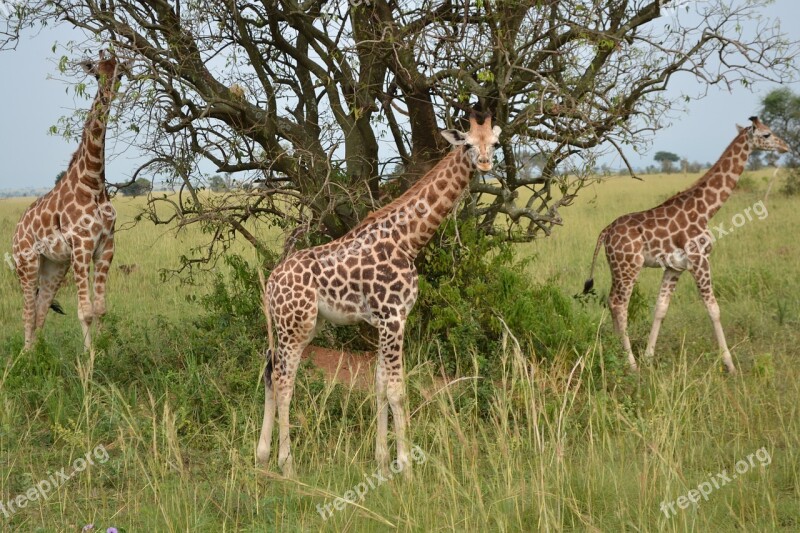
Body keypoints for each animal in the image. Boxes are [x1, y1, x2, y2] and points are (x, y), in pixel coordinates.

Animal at [12, 50, 130, 356]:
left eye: (119, 74)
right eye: (97, 74)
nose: (107, 95)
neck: (93, 183)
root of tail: (16, 232)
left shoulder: (106, 247)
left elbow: (101, 309)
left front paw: (104, 351)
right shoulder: (82, 246)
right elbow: (85, 311)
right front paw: (90, 361)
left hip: (54, 266)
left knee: (40, 309)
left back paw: (39, 354)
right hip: (27, 263)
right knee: (27, 311)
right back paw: (26, 357)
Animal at [258, 110, 500, 476]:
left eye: (495, 143)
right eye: (468, 144)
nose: (485, 163)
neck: (409, 239)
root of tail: (271, 283)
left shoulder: (388, 321)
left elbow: (381, 387)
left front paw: (383, 463)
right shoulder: (393, 317)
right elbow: (398, 391)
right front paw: (407, 468)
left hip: (295, 327)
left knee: (271, 374)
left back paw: (261, 455)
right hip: (295, 326)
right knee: (284, 380)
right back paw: (287, 464)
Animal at [584, 117, 792, 374]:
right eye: (766, 134)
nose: (786, 147)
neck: (706, 210)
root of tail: (606, 232)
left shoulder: (674, 268)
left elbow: (660, 309)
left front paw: (649, 357)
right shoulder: (700, 259)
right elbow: (714, 310)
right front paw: (730, 365)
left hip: (618, 267)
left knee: (612, 302)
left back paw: (619, 355)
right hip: (629, 266)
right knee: (618, 304)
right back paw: (631, 365)